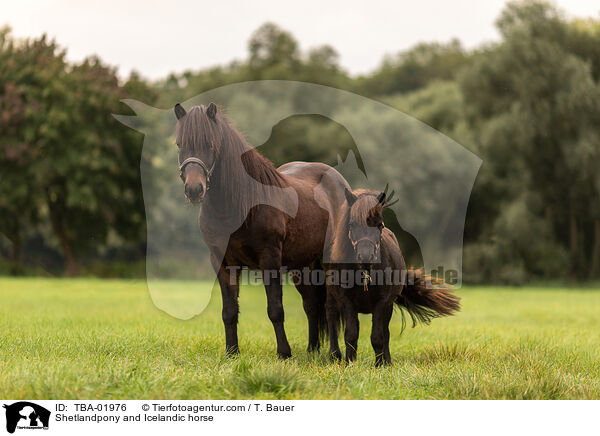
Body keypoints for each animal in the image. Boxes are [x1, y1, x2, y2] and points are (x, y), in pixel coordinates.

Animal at [172, 104, 352, 360]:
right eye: (180, 144)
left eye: (211, 144)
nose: (194, 189)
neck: (243, 205)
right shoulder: (222, 263)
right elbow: (229, 311)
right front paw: (232, 353)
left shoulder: (270, 260)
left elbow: (275, 309)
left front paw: (284, 353)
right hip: (302, 265)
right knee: (311, 305)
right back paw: (311, 350)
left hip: (327, 261)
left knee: (330, 306)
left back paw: (334, 354)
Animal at [324, 187, 460, 364]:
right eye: (352, 224)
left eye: (380, 225)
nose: (366, 257)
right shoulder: (347, 302)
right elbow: (351, 334)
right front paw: (350, 363)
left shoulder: (382, 303)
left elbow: (378, 336)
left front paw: (381, 364)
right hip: (332, 298)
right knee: (332, 319)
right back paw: (335, 356)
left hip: (388, 306)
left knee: (385, 332)